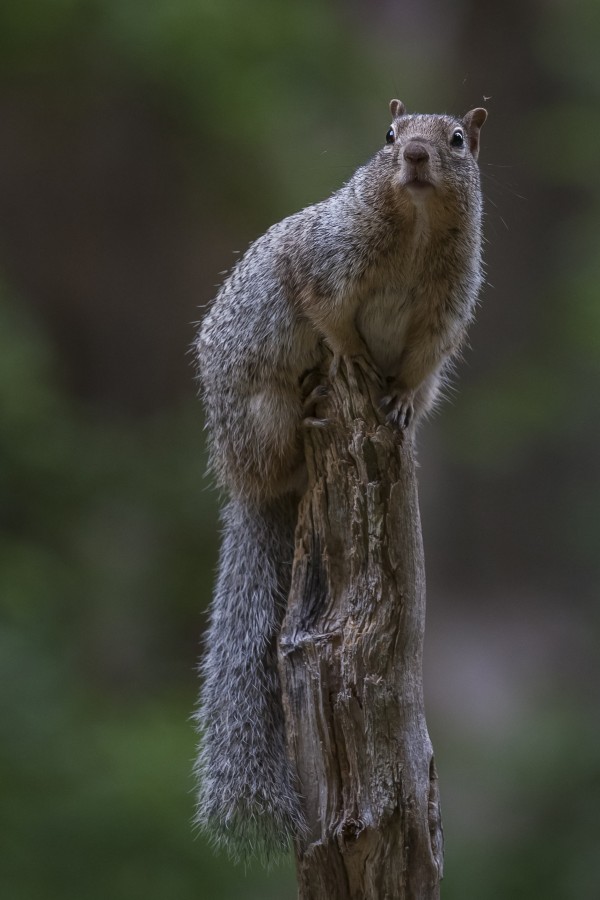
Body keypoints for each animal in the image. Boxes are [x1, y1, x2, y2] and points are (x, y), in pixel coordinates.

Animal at [195, 96, 486, 856]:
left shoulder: (444, 316)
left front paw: (401, 398)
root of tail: (245, 482)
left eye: (456, 140)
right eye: (388, 135)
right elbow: (329, 316)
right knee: (283, 442)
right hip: (260, 410)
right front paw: (353, 358)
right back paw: (311, 410)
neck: (414, 228)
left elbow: (423, 359)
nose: (414, 155)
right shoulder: (321, 262)